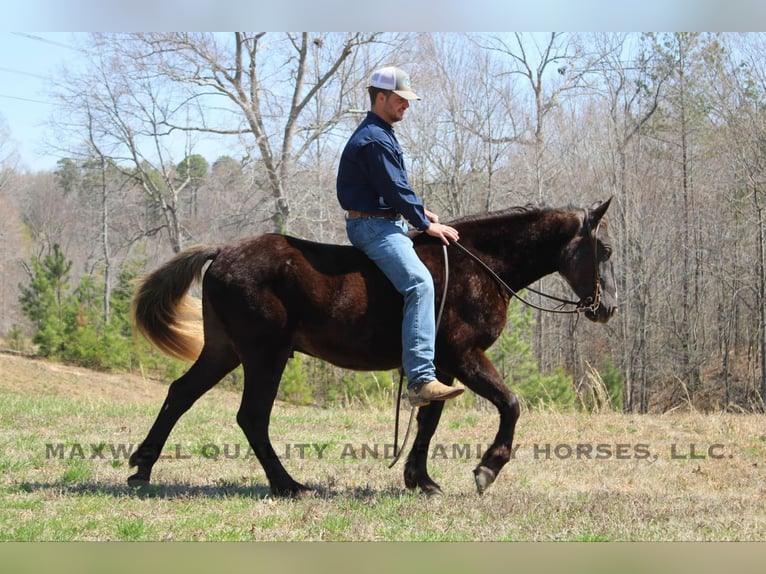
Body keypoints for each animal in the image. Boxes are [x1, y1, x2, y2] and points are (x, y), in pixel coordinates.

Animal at [127, 198, 617, 497]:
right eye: (606, 250)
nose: (607, 307)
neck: (479, 265)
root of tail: (224, 251)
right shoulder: (465, 356)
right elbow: (510, 403)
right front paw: (487, 469)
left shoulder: (441, 367)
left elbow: (429, 419)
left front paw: (420, 479)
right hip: (265, 356)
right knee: (251, 417)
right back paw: (288, 485)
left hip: (225, 351)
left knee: (180, 395)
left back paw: (141, 469)